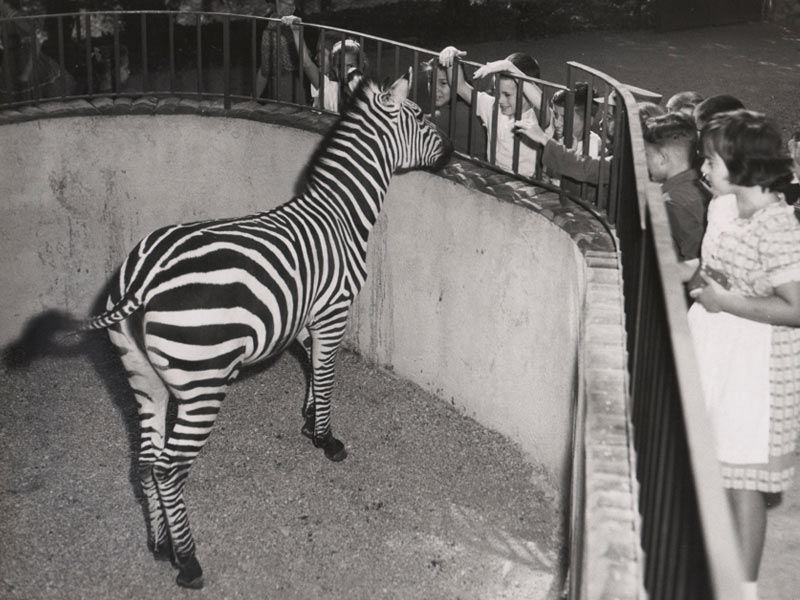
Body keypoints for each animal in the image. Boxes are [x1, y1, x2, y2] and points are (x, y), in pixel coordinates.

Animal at [17, 70, 451, 589]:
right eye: (421, 116)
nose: (451, 155)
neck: (341, 214)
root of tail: (143, 279)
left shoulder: (301, 316)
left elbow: (311, 366)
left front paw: (308, 420)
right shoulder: (333, 310)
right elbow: (326, 373)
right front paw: (327, 439)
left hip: (143, 377)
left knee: (146, 462)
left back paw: (159, 545)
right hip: (202, 382)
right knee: (169, 469)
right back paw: (188, 562)